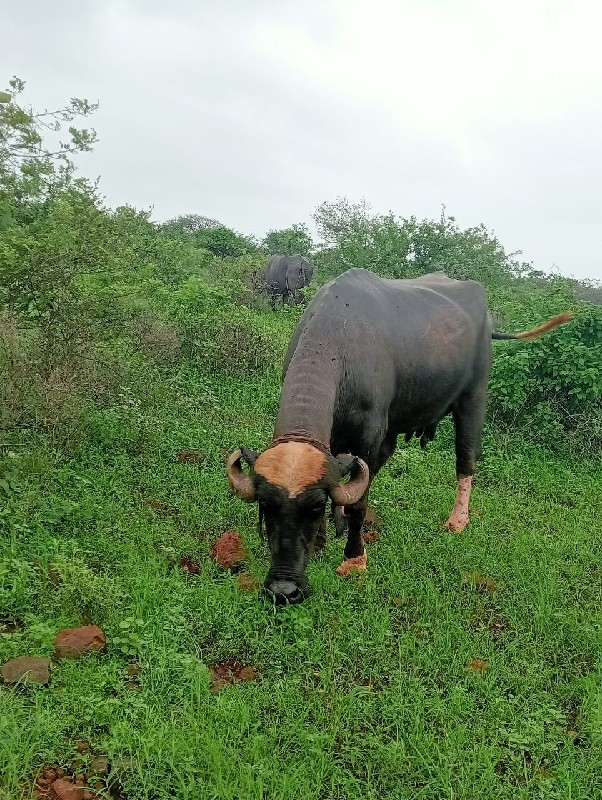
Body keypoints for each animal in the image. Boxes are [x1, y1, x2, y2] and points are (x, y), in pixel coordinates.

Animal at [227, 270, 568, 608]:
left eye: (313, 507)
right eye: (266, 505)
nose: (284, 590)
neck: (341, 343)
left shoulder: (368, 437)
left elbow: (358, 503)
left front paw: (354, 559)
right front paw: (322, 540)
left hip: (474, 395)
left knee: (466, 457)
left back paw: (457, 521)